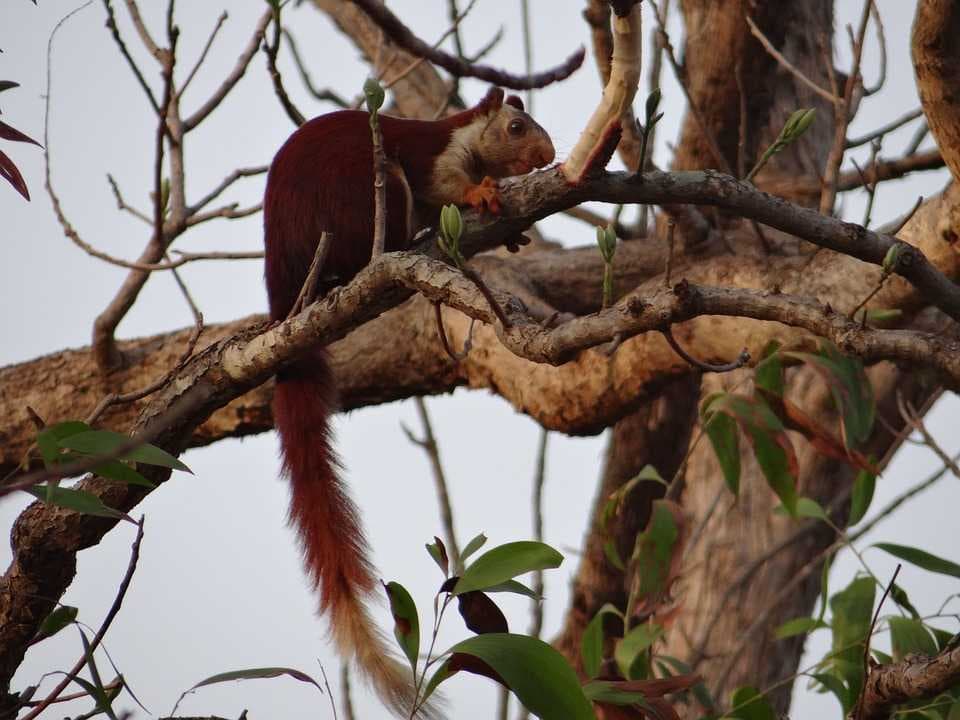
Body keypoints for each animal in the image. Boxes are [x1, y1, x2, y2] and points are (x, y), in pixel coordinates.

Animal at [262, 86, 554, 715]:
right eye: (516, 128)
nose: (547, 155)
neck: (466, 137)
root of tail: (285, 288)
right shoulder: (430, 159)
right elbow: (443, 187)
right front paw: (480, 193)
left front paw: (514, 234)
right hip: (365, 192)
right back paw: (397, 247)